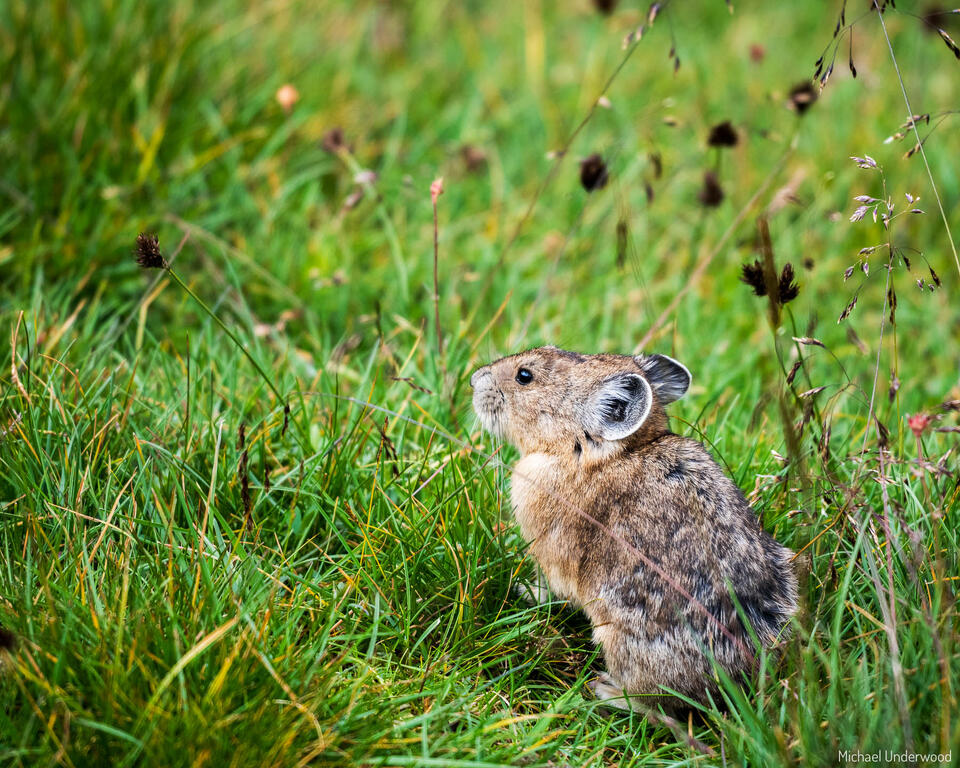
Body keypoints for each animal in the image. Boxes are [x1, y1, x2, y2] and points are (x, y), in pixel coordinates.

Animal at [470, 346, 798, 713]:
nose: (474, 380)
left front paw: (524, 589)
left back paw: (606, 691)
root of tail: (737, 677)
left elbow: (553, 590)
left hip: (619, 638)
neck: (593, 454)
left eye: (524, 376)